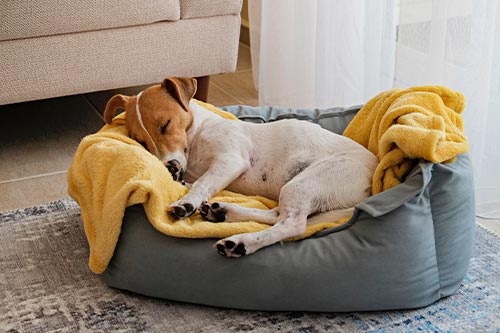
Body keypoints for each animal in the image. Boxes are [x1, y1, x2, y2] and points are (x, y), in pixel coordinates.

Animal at [103, 76, 376, 255]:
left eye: (165, 124)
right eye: (139, 141)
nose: (169, 166)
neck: (197, 134)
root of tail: (372, 183)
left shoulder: (230, 159)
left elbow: (202, 183)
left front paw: (186, 203)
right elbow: (194, 181)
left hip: (306, 182)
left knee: (292, 224)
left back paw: (241, 242)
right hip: (295, 188)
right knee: (276, 214)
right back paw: (223, 211)